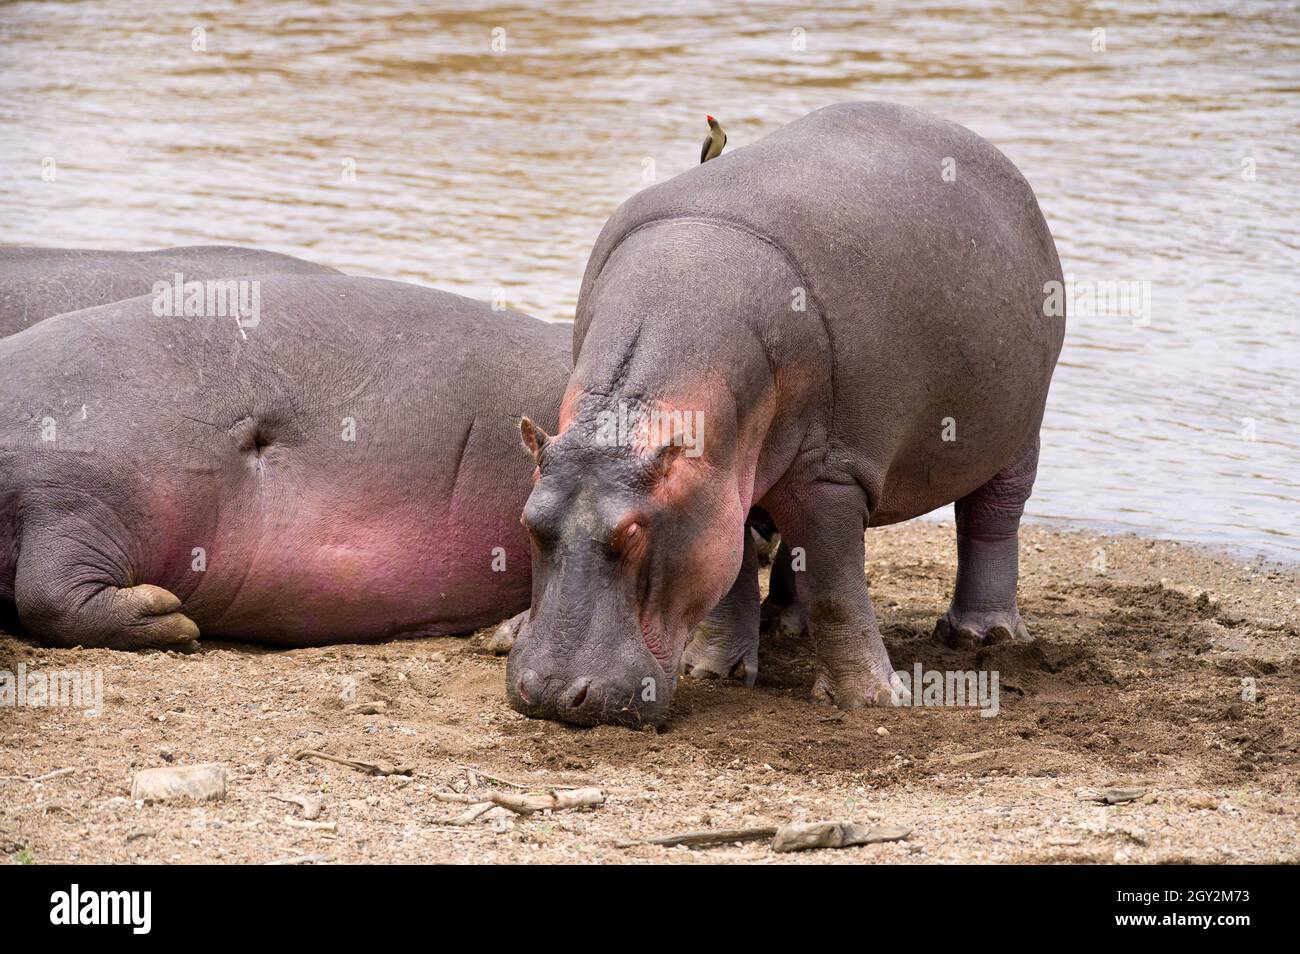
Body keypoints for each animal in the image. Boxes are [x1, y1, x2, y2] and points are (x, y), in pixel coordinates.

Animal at [506, 102, 1066, 722]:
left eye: (633, 533)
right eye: (529, 521)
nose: (553, 694)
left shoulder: (832, 472)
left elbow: (836, 585)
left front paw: (872, 698)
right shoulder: (721, 479)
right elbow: (737, 571)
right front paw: (716, 671)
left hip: (1020, 427)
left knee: (992, 517)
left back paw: (981, 636)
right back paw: (782, 625)